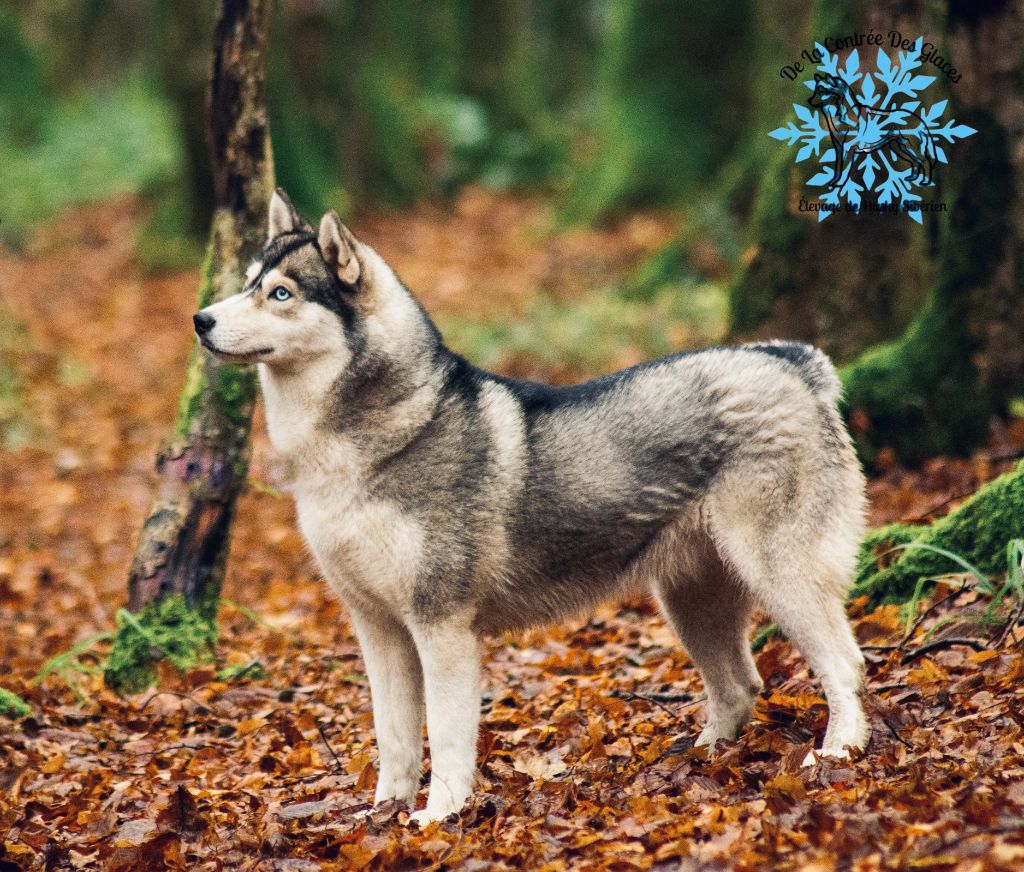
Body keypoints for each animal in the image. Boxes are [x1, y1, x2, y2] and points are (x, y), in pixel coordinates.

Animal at [190, 187, 864, 822]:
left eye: (280, 293)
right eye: (247, 282)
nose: (200, 319)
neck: (379, 438)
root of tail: (791, 361)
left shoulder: (443, 628)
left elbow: (448, 738)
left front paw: (439, 816)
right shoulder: (379, 631)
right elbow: (396, 740)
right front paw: (383, 813)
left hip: (779, 577)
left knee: (845, 664)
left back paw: (840, 751)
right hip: (689, 601)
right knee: (740, 686)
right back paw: (700, 758)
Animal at [806, 73, 937, 192]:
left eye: (822, 90)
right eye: (815, 90)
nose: (809, 101)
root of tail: (918, 118)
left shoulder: (848, 148)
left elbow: (844, 169)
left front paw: (839, 184)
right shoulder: (838, 148)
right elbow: (838, 168)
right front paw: (833, 181)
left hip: (911, 147)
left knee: (925, 161)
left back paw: (926, 182)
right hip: (900, 148)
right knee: (915, 163)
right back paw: (912, 178)